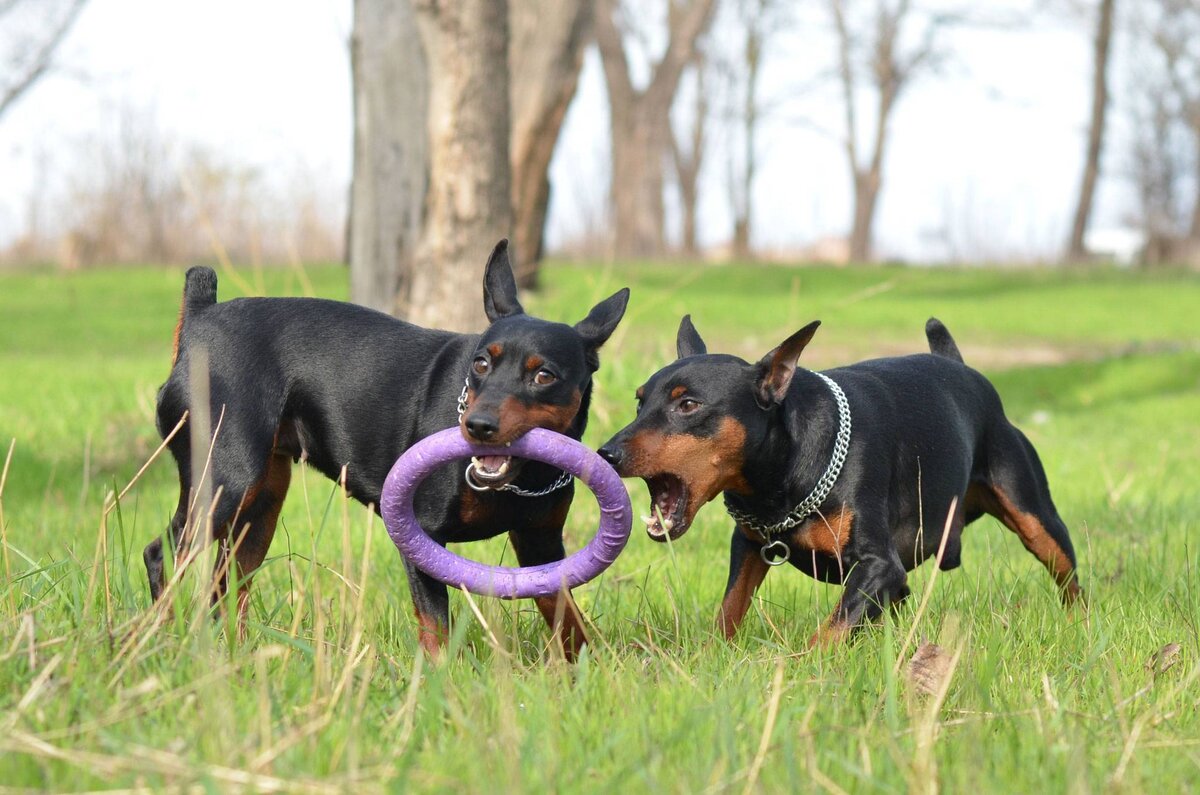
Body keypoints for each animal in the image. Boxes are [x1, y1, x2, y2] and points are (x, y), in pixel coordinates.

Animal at [147, 241, 628, 658]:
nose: (477, 426)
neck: (521, 477)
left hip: (261, 502)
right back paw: (156, 641)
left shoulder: (541, 545)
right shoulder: (421, 535)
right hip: (225, 481)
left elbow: (568, 620)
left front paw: (589, 673)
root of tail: (200, 320)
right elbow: (436, 626)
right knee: (163, 554)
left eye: (544, 376)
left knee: (227, 582)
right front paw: (439, 684)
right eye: (480, 364)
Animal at [600, 314, 1080, 643]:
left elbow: (829, 632)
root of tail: (962, 368)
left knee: (1068, 577)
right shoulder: (750, 545)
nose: (607, 453)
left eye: (688, 405)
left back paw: (1080, 625)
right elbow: (730, 607)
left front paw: (799, 669)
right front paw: (711, 654)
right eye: (639, 402)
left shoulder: (879, 565)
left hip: (1034, 514)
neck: (779, 479)